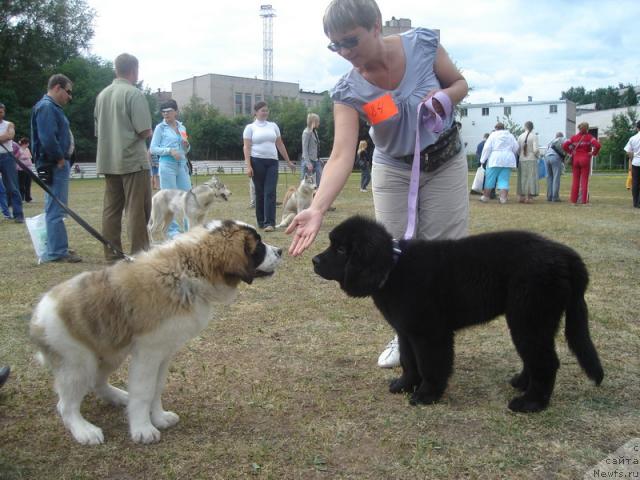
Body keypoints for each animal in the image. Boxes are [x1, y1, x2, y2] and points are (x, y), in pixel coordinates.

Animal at [30, 219, 280, 444]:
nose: (280, 251)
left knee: (97, 382)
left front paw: (158, 417)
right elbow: (143, 391)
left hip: (110, 352)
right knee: (66, 405)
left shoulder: (164, 351)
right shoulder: (148, 353)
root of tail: (37, 318)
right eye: (258, 246)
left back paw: (118, 397)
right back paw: (84, 430)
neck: (186, 270)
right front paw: (143, 429)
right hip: (78, 363)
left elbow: (156, 388)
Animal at [316, 216, 604, 410]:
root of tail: (565, 255)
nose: (314, 261)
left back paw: (531, 403)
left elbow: (431, 365)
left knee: (546, 362)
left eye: (341, 250)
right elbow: (409, 361)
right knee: (534, 358)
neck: (393, 267)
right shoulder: (407, 332)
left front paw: (426, 395)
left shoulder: (430, 334)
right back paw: (522, 383)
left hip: (530, 318)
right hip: (530, 321)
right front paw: (404, 385)